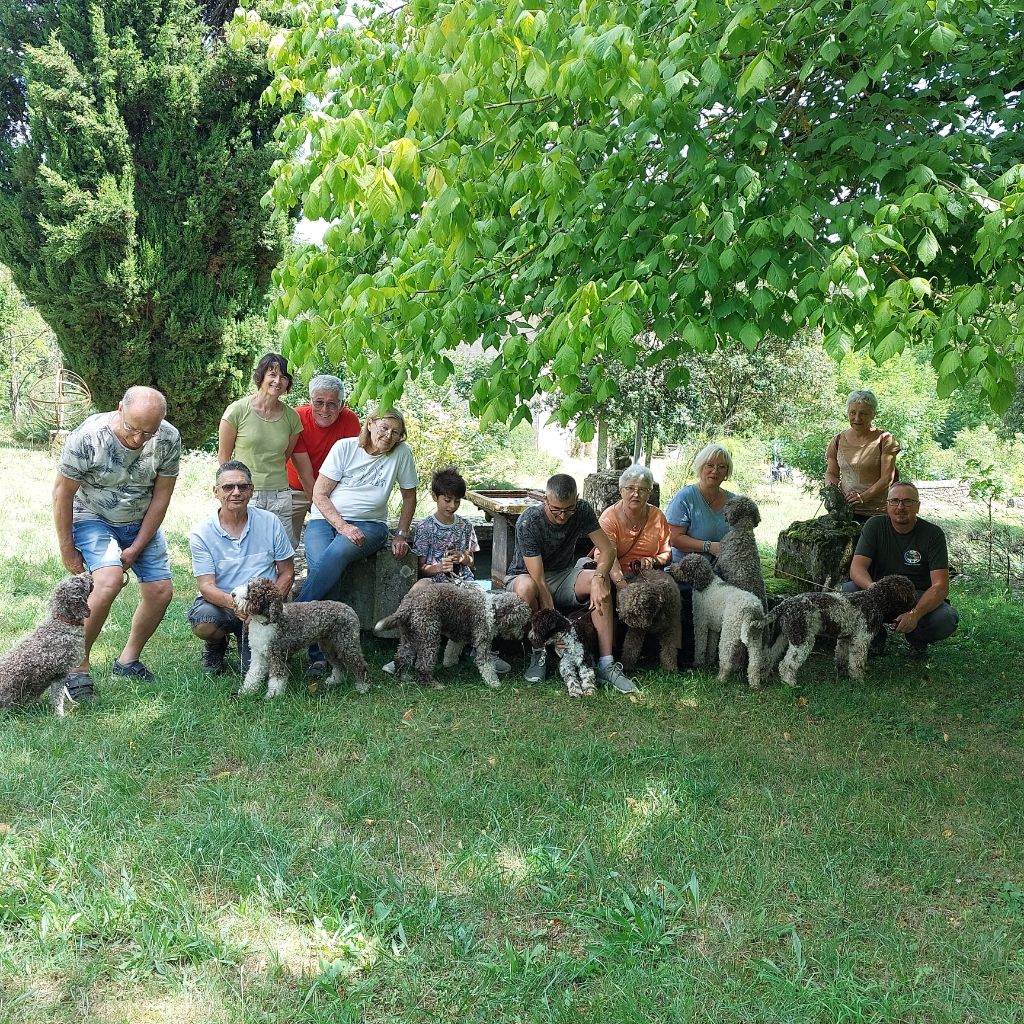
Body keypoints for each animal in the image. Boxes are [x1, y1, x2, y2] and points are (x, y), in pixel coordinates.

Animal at [0, 573, 93, 716]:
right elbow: (57, 699)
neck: (62, 623)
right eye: (80, 581)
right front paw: (60, 716)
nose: (88, 573)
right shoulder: (61, 675)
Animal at [232, 577, 368, 696]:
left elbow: (277, 678)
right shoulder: (258, 655)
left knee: (360, 665)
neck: (266, 622)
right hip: (328, 646)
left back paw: (363, 686)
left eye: (251, 591)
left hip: (347, 644)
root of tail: (349, 609)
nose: (233, 594)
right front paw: (246, 691)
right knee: (339, 665)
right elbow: (253, 674)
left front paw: (273, 695)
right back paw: (335, 680)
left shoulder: (278, 654)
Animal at [378, 585, 536, 688]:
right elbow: (485, 663)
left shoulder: (458, 636)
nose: (520, 636)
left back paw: (404, 677)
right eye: (520, 622)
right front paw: (493, 682)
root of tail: (409, 602)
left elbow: (452, 648)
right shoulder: (483, 640)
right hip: (430, 634)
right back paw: (433, 684)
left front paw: (449, 662)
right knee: (422, 665)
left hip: (409, 635)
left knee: (401, 656)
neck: (492, 608)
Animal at [667, 557, 765, 692]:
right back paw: (755, 685)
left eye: (683, 567)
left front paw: (698, 663)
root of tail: (752, 608)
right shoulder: (713, 628)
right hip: (755, 636)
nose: (671, 568)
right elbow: (711, 646)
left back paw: (720, 680)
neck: (707, 583)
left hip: (729, 633)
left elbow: (701, 646)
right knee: (755, 663)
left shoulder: (700, 623)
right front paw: (708, 662)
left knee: (726, 660)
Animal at [765, 577, 917, 688]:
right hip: (803, 639)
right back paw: (790, 683)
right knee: (786, 664)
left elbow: (842, 657)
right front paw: (859, 681)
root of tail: (785, 604)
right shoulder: (861, 640)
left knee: (771, 655)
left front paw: (842, 674)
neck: (874, 600)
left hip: (783, 637)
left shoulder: (845, 638)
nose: (916, 604)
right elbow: (857, 663)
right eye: (911, 592)